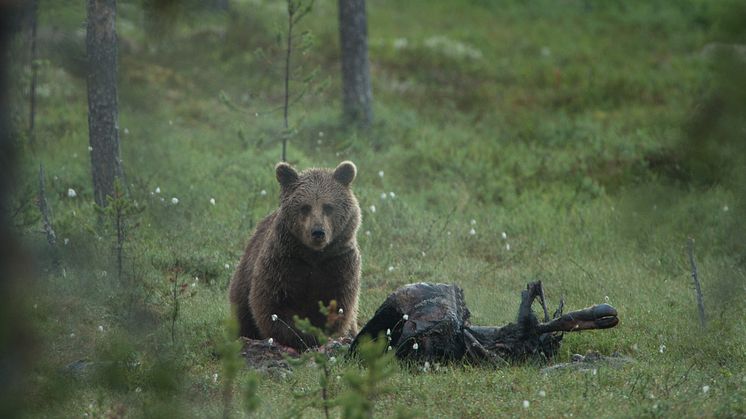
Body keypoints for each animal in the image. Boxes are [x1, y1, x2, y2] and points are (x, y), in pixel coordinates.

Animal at [230, 161, 364, 352]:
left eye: (328, 206)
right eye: (305, 207)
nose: (318, 232)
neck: (313, 255)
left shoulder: (339, 265)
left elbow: (338, 306)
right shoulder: (283, 264)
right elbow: (271, 306)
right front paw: (299, 338)